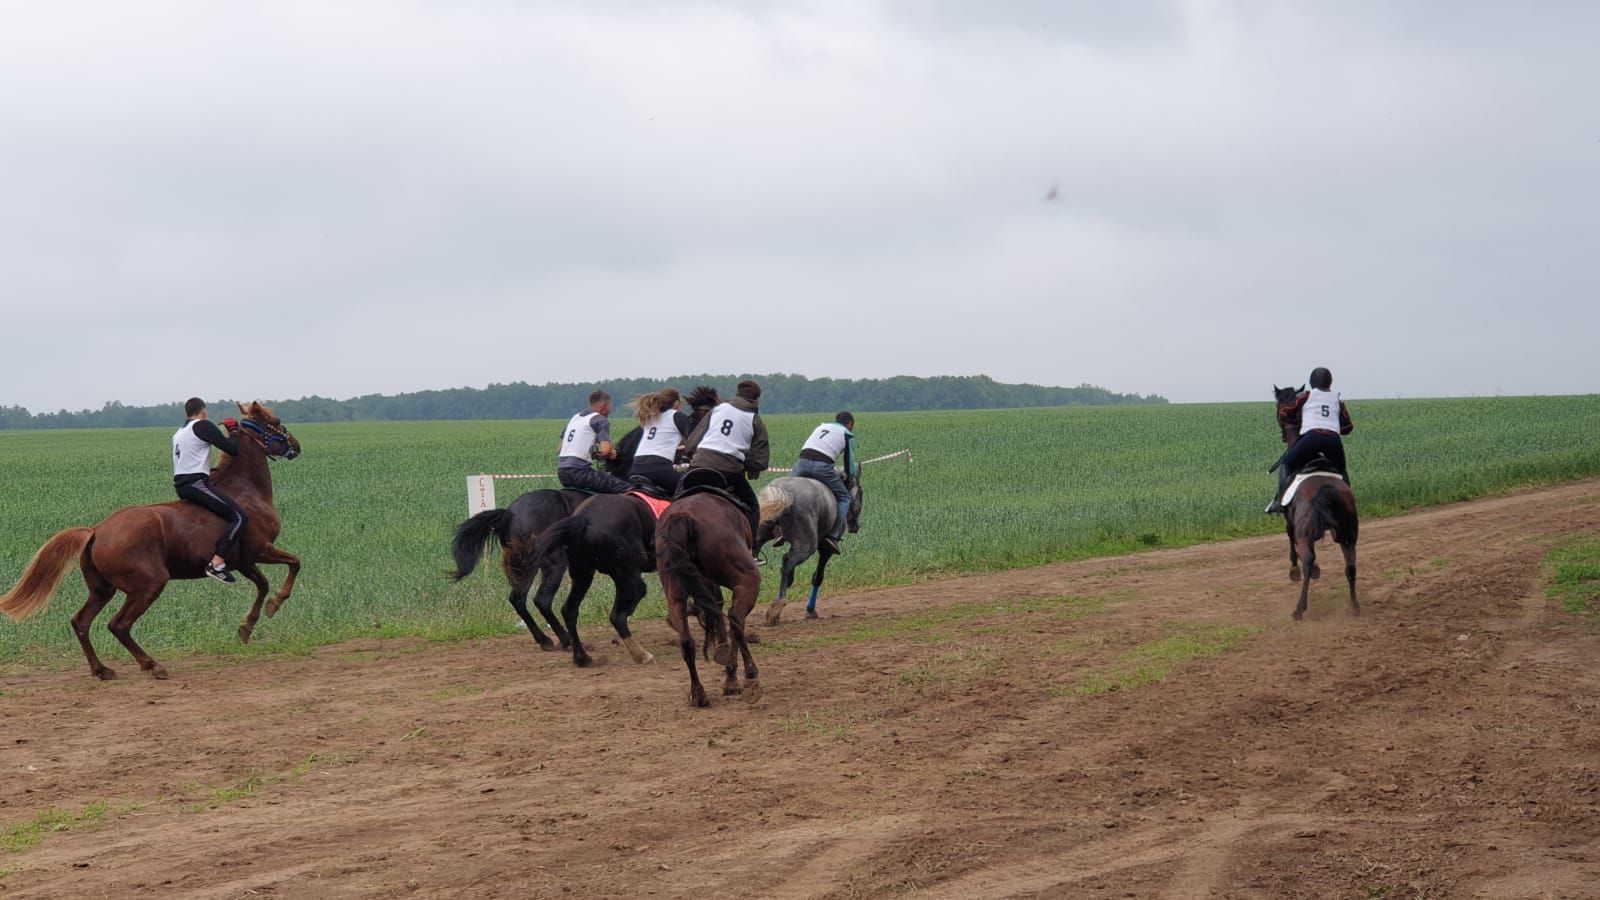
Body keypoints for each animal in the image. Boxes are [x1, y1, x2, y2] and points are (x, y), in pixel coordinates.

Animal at [0, 398, 302, 672]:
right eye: (274, 421)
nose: (296, 446)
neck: (245, 489)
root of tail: (96, 531)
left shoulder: (243, 561)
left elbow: (263, 585)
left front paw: (248, 626)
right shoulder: (259, 550)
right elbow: (294, 563)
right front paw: (275, 604)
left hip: (102, 589)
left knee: (81, 621)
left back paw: (101, 670)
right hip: (149, 584)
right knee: (118, 625)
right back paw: (151, 665)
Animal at [451, 486, 588, 646]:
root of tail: (510, 515)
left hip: (522, 568)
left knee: (518, 599)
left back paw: (544, 639)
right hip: (553, 563)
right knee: (541, 600)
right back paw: (565, 639)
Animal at [656, 470, 768, 707]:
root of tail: (685, 518)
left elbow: (714, 607)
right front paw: (731, 677)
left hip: (675, 591)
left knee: (686, 641)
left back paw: (698, 693)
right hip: (747, 579)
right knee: (736, 620)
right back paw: (749, 678)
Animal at [752, 470, 864, 624]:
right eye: (861, 494)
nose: (856, 526)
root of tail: (783, 493)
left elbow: (790, 578)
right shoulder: (825, 549)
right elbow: (817, 577)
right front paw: (810, 610)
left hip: (760, 537)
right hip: (806, 547)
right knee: (787, 561)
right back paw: (777, 606)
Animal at [1267, 381, 1356, 621]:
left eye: (1278, 409)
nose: (1281, 434)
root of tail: (1326, 489)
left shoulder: (1291, 522)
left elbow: (1290, 539)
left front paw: (1294, 571)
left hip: (1306, 531)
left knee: (1307, 559)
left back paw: (1300, 608)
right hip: (1349, 533)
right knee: (1351, 566)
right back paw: (1355, 605)